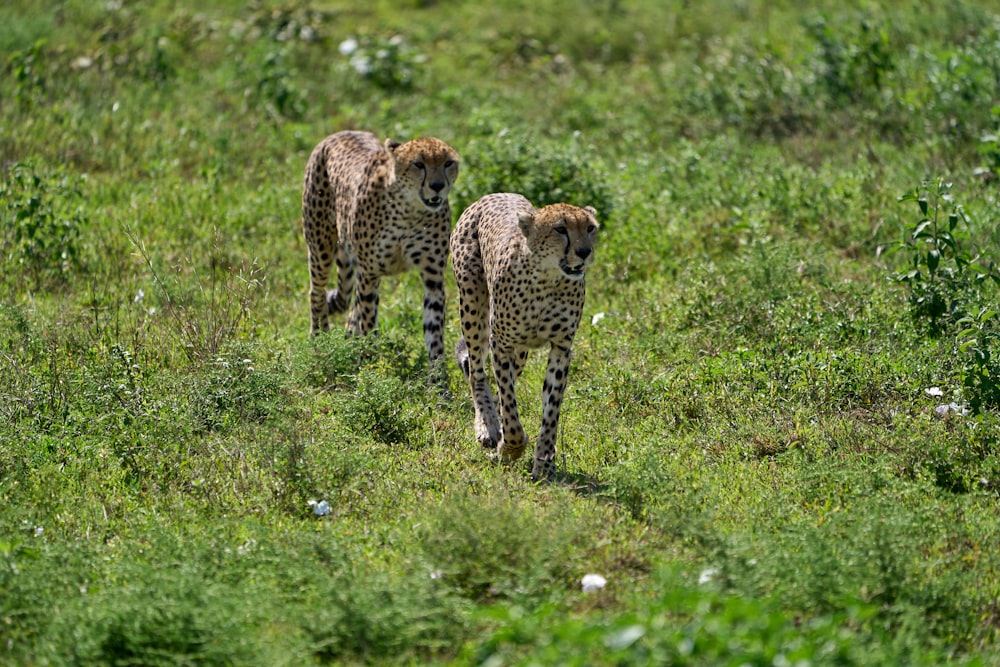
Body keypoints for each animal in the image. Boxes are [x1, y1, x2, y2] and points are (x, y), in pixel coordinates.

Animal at [300, 130, 460, 376]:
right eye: (418, 164)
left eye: (448, 163)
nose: (437, 185)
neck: (409, 210)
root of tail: (344, 132)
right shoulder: (369, 273)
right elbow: (368, 324)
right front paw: (370, 368)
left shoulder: (433, 278)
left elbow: (435, 333)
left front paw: (439, 381)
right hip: (321, 246)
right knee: (316, 293)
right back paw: (321, 342)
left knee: (348, 306)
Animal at [454, 192, 600, 480]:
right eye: (560, 229)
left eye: (590, 228)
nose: (584, 252)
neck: (548, 279)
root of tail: (498, 193)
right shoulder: (501, 344)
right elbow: (510, 407)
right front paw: (510, 447)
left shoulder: (561, 348)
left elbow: (551, 409)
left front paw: (544, 463)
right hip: (473, 308)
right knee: (476, 371)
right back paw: (487, 427)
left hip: (521, 351)